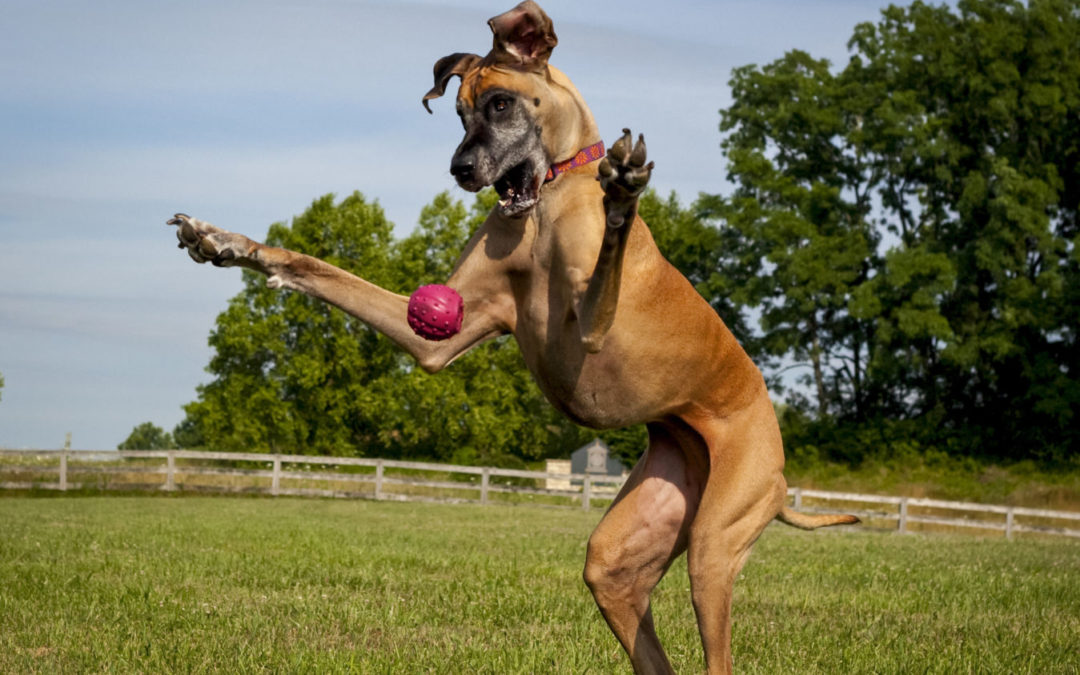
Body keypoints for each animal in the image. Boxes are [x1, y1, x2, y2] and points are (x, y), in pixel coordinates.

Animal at [168, 3, 855, 669]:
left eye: (500, 103)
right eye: (458, 113)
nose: (461, 170)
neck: (548, 201)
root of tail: (777, 466)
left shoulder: (594, 331)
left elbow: (609, 251)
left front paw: (623, 193)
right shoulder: (436, 341)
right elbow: (314, 268)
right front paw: (225, 242)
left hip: (716, 541)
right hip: (627, 548)